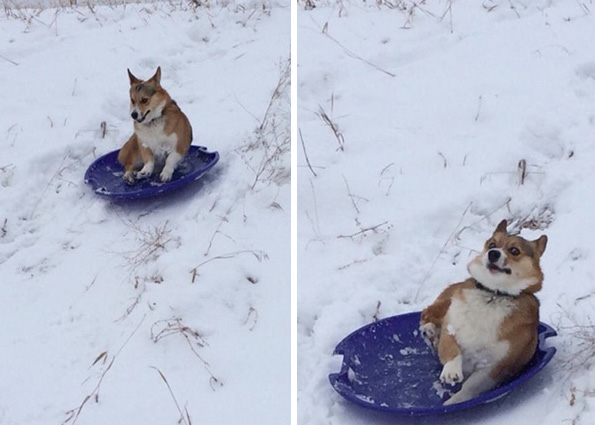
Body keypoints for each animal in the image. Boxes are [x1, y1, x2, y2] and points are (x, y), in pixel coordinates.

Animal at [420, 219, 548, 404]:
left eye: (514, 250)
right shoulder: (450, 329)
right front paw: (451, 371)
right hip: (445, 302)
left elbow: (470, 387)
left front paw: (454, 401)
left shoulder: (494, 366)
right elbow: (451, 349)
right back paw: (429, 329)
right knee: (426, 313)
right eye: (492, 245)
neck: (493, 294)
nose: (492, 253)